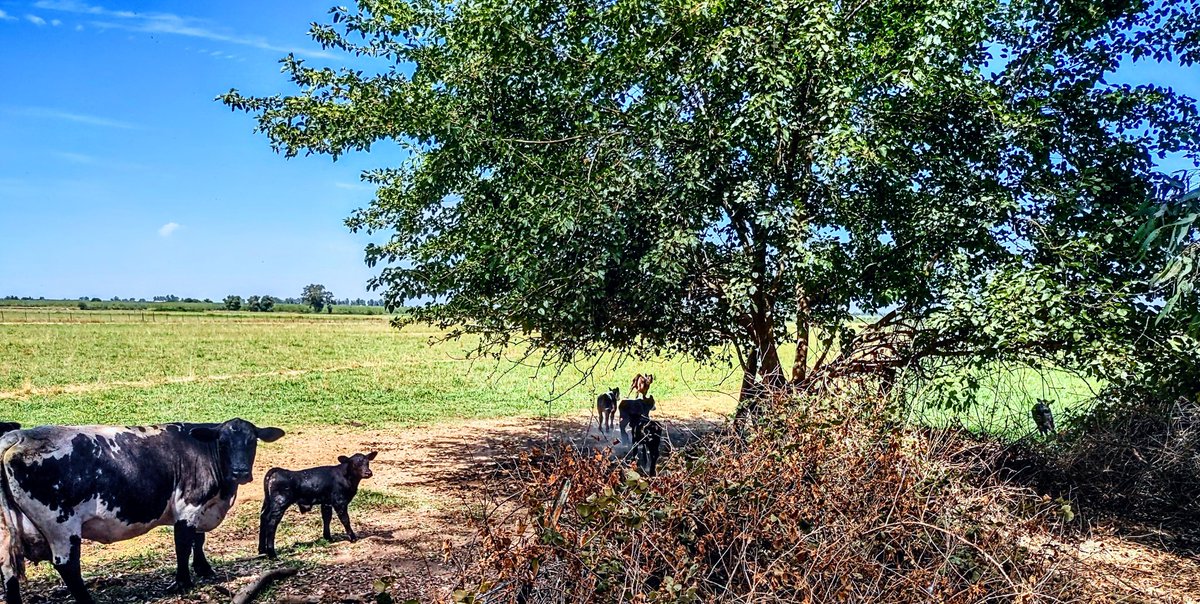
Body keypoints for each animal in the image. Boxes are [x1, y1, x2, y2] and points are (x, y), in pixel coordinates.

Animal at [0, 418, 284, 604]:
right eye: (223, 442)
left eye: (252, 441)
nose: (240, 472)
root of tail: (18, 436)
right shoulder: (189, 507)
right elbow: (184, 544)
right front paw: (183, 582)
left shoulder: (201, 509)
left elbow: (198, 540)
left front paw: (204, 569)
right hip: (61, 527)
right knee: (67, 567)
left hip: (7, 533)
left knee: (8, 571)